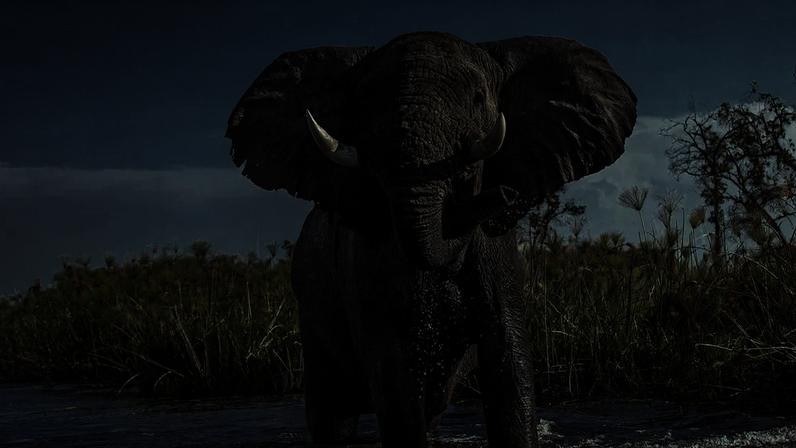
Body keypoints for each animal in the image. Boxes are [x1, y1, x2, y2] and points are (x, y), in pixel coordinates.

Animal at [225, 32, 636, 447]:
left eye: (478, 98)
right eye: (363, 106)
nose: (504, 193)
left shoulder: (500, 258)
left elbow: (509, 360)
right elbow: (393, 370)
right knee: (334, 412)